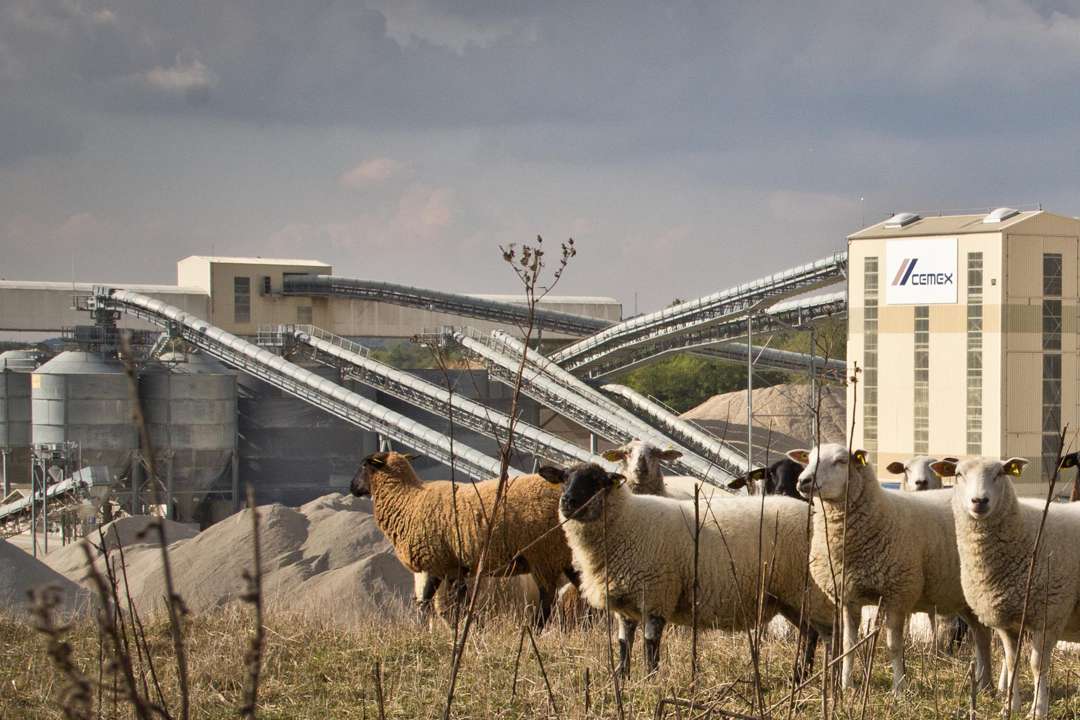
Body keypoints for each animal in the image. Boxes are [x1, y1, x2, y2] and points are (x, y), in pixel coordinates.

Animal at [352, 451, 574, 626]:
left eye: (364, 465)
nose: (351, 487)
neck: (407, 499)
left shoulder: (436, 564)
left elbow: (429, 603)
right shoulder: (451, 567)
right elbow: (456, 603)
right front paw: (472, 628)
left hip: (543, 554)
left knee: (547, 599)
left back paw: (534, 629)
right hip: (565, 556)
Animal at [557, 464, 833, 677]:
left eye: (596, 481)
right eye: (564, 479)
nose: (567, 501)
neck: (625, 523)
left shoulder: (656, 594)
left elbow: (650, 646)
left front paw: (650, 680)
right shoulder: (626, 605)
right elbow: (624, 645)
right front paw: (623, 680)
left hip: (809, 591)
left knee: (824, 632)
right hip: (791, 598)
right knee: (810, 633)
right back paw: (801, 676)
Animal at [933, 455, 1080, 716]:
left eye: (1000, 474)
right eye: (959, 474)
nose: (979, 501)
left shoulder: (1049, 615)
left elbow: (1037, 664)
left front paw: (1037, 710)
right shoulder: (1006, 621)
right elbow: (1012, 661)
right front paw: (1010, 706)